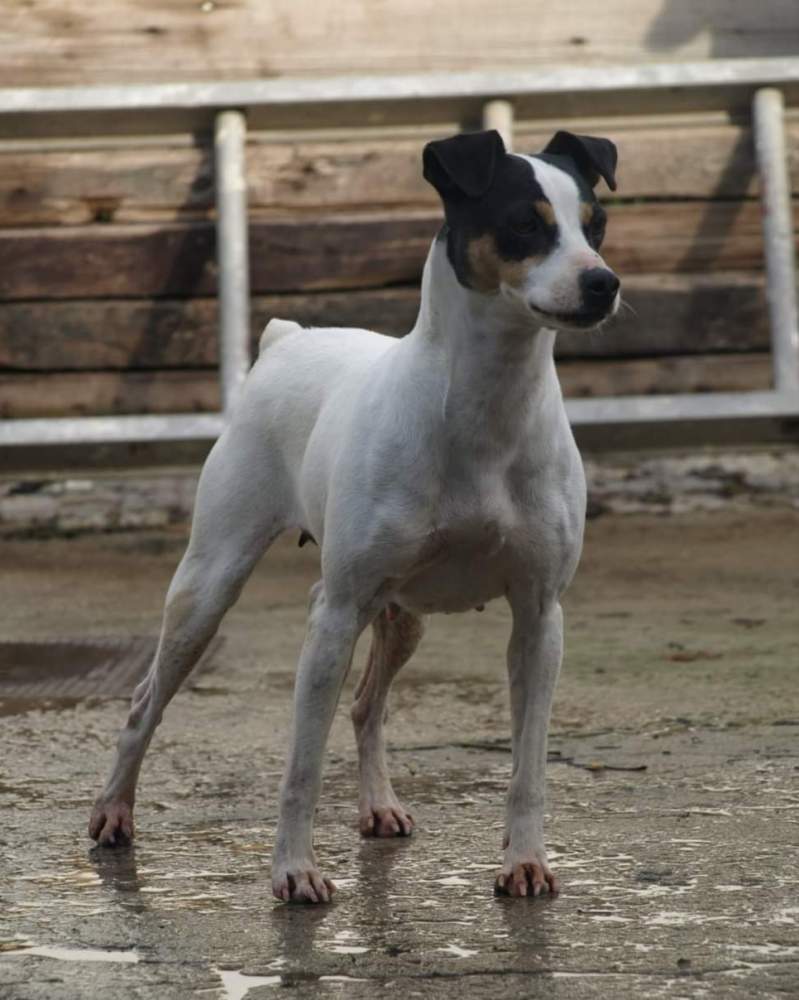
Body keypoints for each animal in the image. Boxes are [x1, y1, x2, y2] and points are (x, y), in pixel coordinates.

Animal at [92, 127, 620, 908]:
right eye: (524, 224)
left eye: (597, 224)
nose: (602, 283)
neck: (484, 410)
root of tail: (287, 338)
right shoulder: (333, 614)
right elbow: (301, 766)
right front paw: (293, 871)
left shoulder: (538, 615)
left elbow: (527, 764)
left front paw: (524, 862)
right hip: (208, 588)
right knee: (143, 702)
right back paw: (113, 812)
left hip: (402, 615)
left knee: (368, 705)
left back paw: (379, 806)